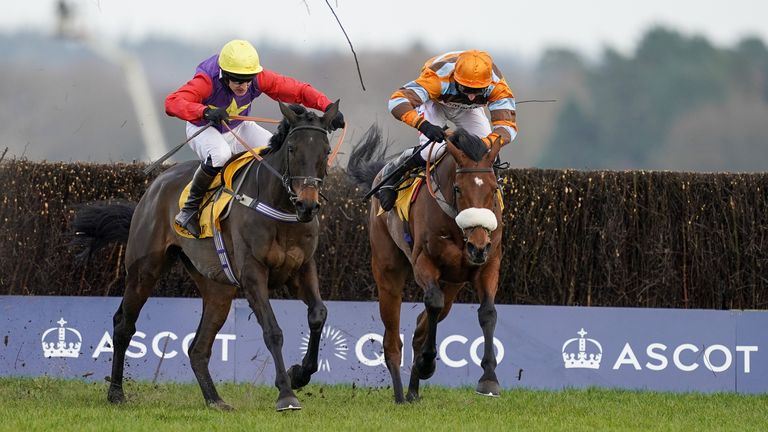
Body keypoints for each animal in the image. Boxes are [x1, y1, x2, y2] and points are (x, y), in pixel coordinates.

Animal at [74, 101, 340, 412]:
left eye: (325, 151)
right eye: (292, 149)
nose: (307, 205)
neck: (280, 209)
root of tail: (155, 185)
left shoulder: (302, 268)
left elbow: (318, 314)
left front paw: (299, 374)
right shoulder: (253, 273)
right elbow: (273, 331)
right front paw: (286, 394)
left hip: (217, 290)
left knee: (198, 347)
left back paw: (215, 399)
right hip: (145, 269)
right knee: (124, 325)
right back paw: (116, 393)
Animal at [348, 126, 504, 404]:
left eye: (493, 189)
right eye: (458, 189)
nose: (477, 245)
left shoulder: (489, 262)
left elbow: (487, 312)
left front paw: (489, 379)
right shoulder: (424, 261)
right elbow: (433, 302)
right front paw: (427, 363)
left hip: (452, 284)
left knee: (422, 327)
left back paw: (413, 390)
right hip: (387, 270)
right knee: (392, 339)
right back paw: (401, 394)